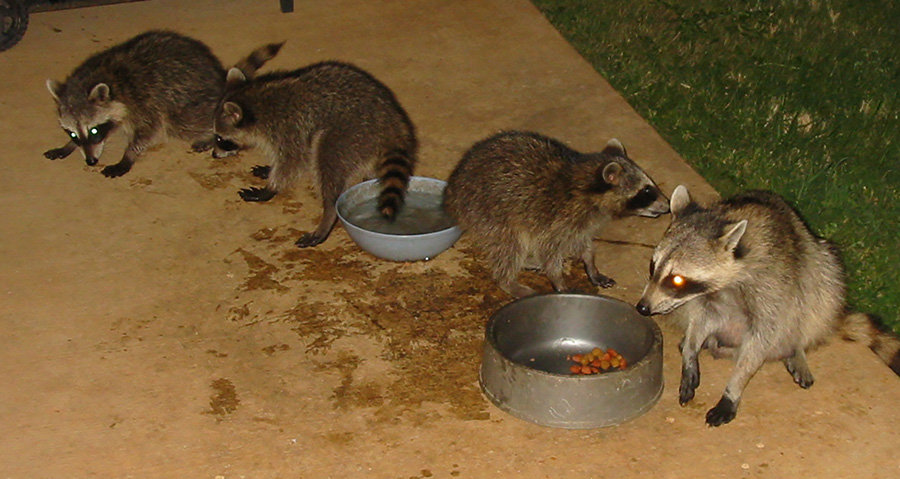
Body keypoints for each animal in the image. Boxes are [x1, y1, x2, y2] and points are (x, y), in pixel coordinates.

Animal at [42, 31, 280, 179]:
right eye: (74, 133)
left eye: (94, 130)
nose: (91, 161)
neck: (109, 78)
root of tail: (219, 75)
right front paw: (69, 145)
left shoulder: (144, 101)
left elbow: (147, 132)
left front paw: (128, 155)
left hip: (188, 102)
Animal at [214, 61, 418, 248]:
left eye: (219, 138)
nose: (214, 155)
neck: (256, 102)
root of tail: (392, 121)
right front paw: (269, 171)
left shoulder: (289, 127)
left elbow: (293, 160)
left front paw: (271, 187)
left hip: (349, 133)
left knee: (326, 160)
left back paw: (328, 214)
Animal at [442, 130, 668, 296]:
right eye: (647, 191)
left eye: (651, 186)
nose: (667, 205)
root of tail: (452, 190)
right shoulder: (556, 216)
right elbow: (548, 250)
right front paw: (557, 278)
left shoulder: (582, 223)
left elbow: (583, 244)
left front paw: (590, 264)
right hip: (489, 210)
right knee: (510, 244)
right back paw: (507, 280)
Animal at [632, 187, 900, 428]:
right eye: (652, 266)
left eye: (677, 280)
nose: (642, 308)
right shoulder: (706, 299)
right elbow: (700, 318)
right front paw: (690, 352)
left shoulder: (774, 288)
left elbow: (763, 337)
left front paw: (734, 387)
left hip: (822, 267)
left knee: (821, 294)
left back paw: (796, 348)